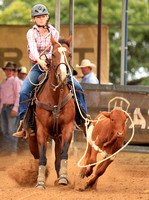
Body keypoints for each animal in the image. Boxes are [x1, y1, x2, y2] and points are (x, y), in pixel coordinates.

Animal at [28, 36, 75, 189]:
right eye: (53, 54)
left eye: (69, 55)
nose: (62, 76)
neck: (55, 98)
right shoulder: (41, 130)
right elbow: (43, 157)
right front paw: (40, 182)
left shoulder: (67, 127)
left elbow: (63, 154)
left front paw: (63, 178)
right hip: (33, 139)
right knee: (37, 156)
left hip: (58, 137)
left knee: (58, 157)